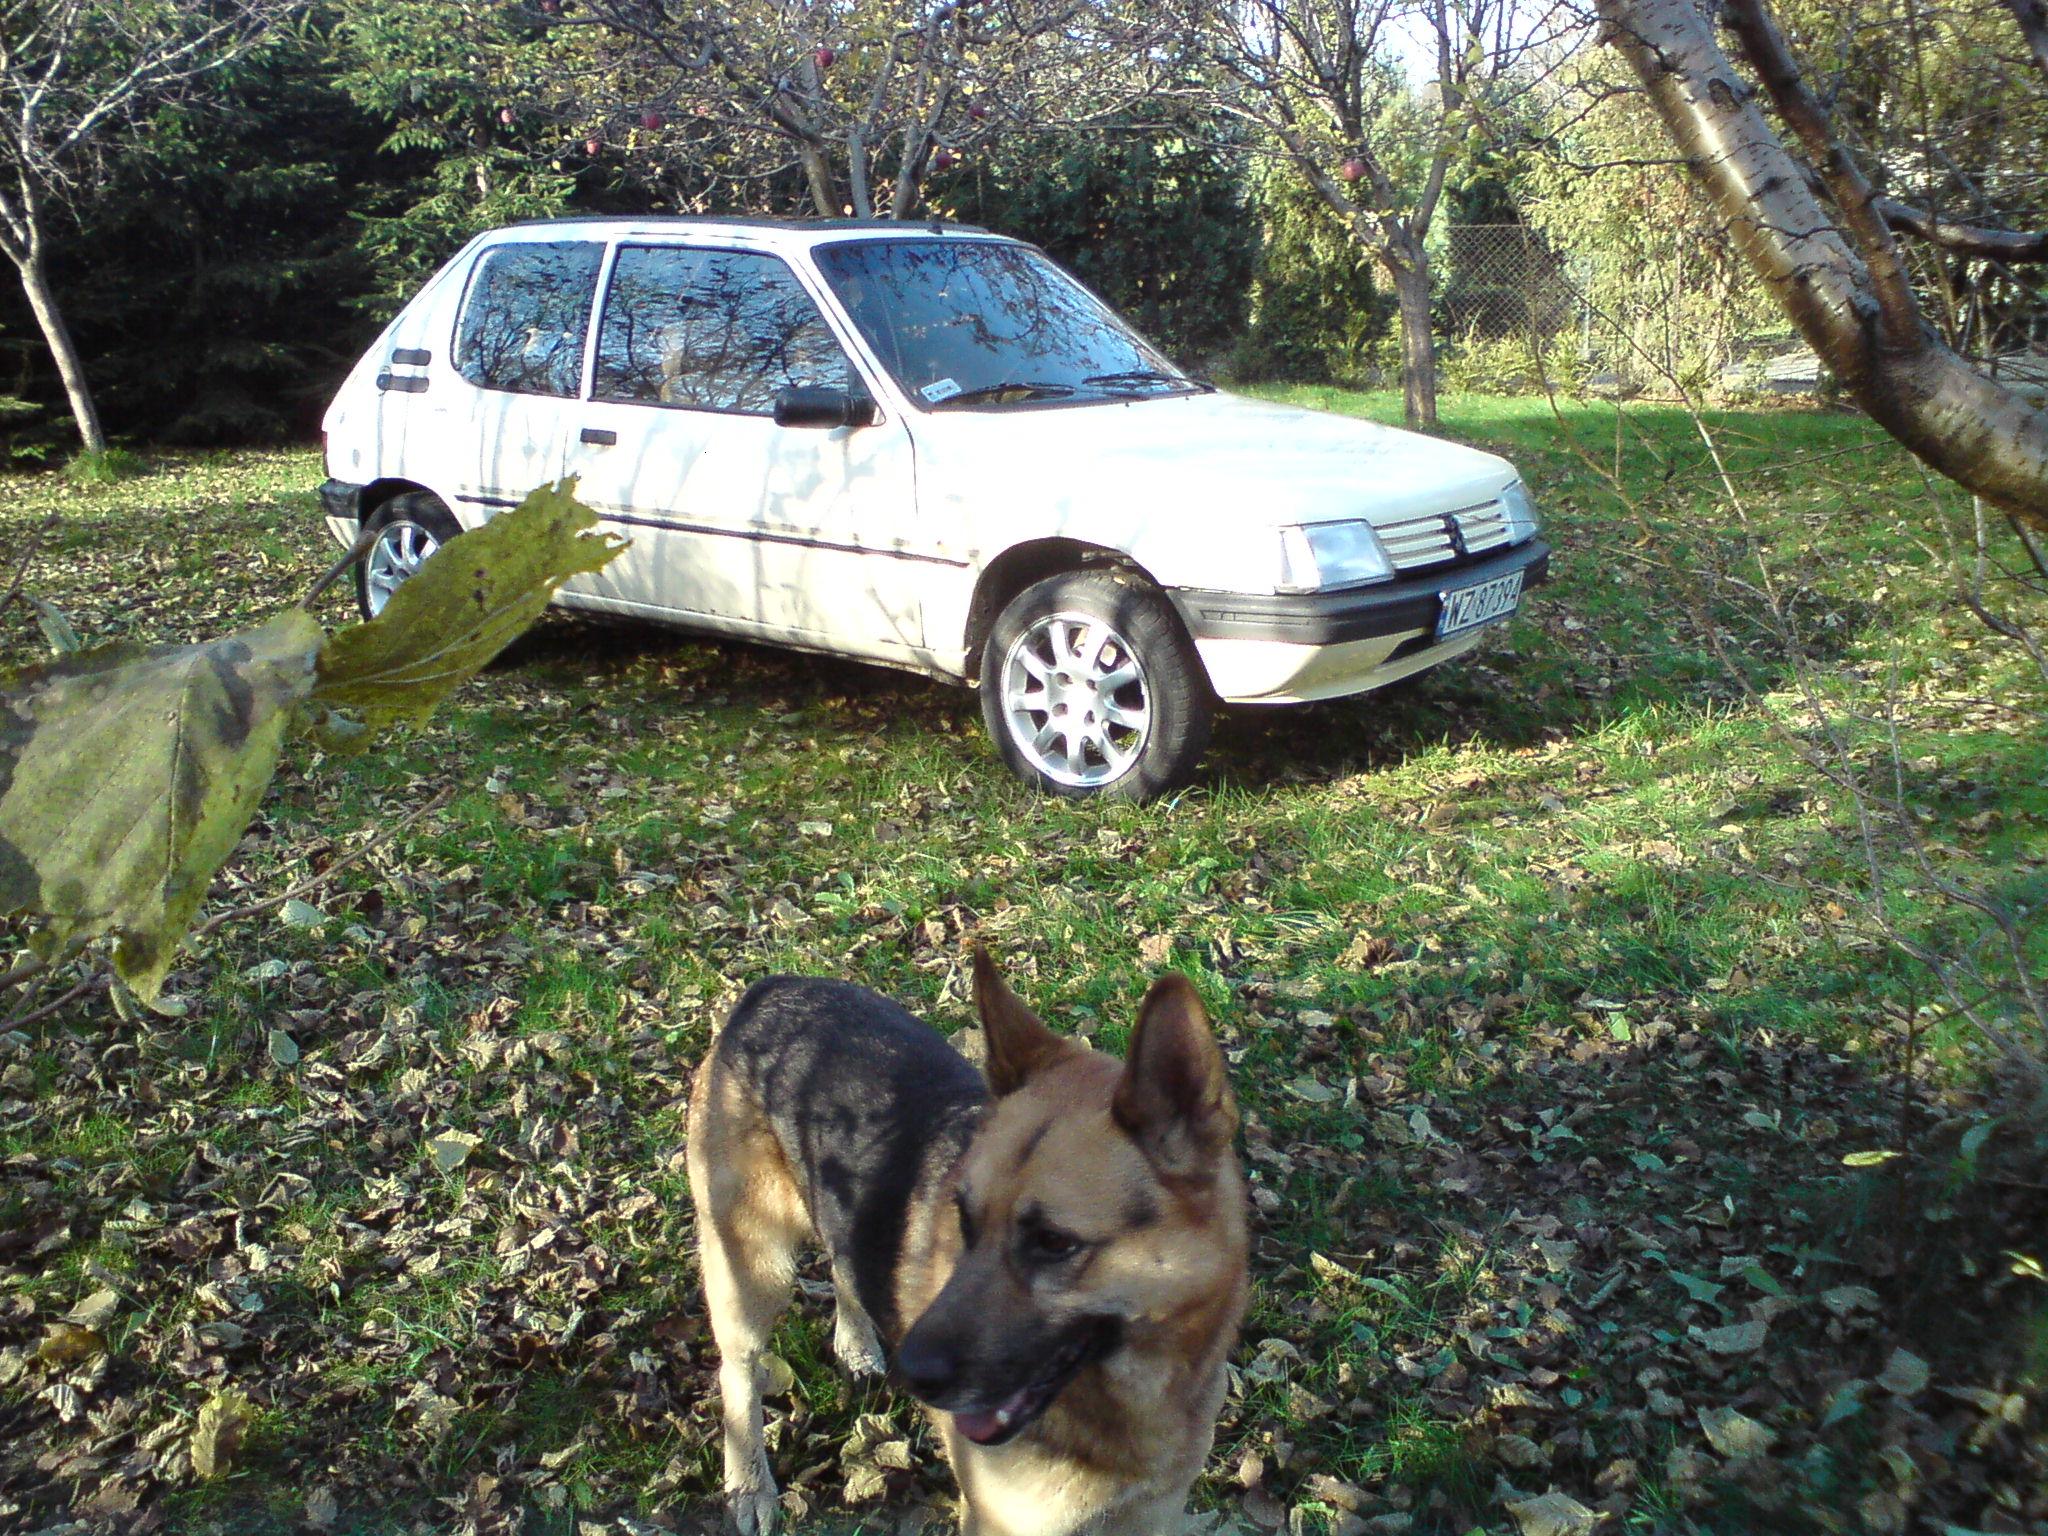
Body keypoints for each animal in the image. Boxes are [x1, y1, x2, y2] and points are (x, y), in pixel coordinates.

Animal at [687, 949, 1249, 1536]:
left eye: (1053, 1242)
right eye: (966, 1220)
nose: (911, 1374)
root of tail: (771, 989)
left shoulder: (1156, 1514)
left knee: (843, 1261)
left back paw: (857, 1341)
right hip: (752, 1272)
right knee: (737, 1371)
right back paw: (748, 1482)